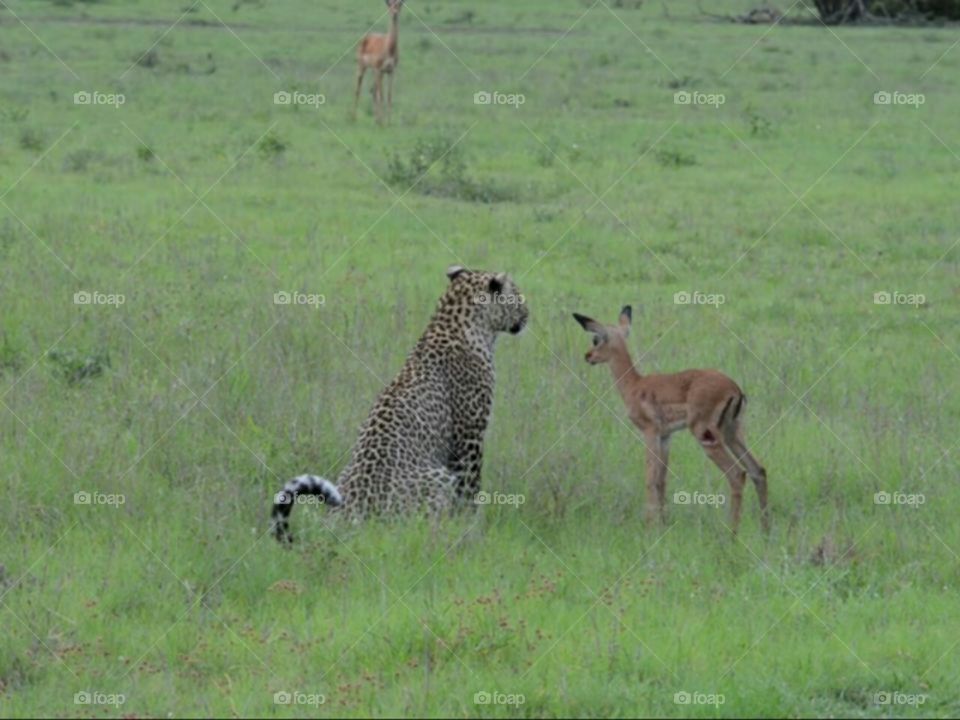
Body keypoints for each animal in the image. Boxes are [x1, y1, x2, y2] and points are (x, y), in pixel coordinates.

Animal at [573, 306, 769, 535]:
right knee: (758, 470)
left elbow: (650, 477)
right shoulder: (666, 436)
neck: (634, 385)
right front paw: (663, 522)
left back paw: (732, 533)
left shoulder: (650, 432)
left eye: (596, 339)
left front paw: (649, 526)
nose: (588, 356)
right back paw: (766, 531)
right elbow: (662, 479)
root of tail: (735, 388)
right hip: (732, 433)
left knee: (737, 474)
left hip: (706, 435)